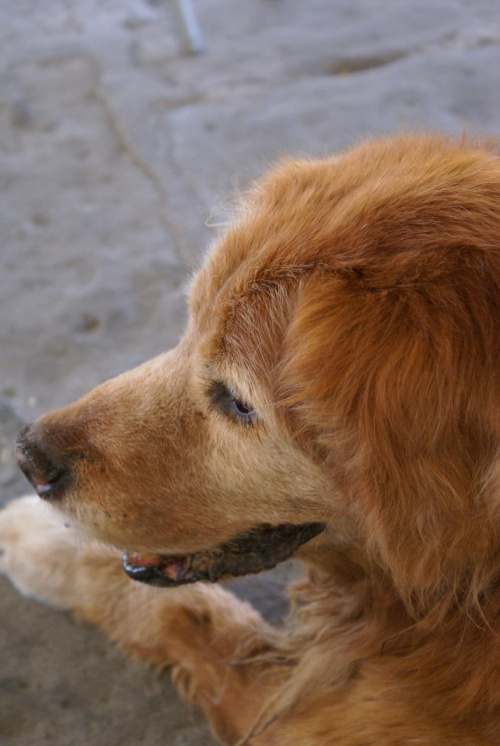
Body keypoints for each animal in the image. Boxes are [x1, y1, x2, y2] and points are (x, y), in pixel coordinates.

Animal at [2, 135, 500, 744]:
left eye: (240, 403)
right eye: (189, 323)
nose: (27, 455)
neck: (475, 596)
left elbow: (181, 612)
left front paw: (40, 540)